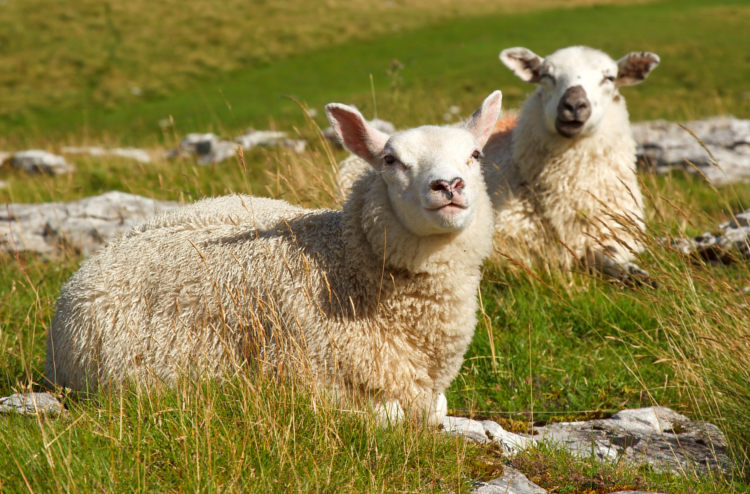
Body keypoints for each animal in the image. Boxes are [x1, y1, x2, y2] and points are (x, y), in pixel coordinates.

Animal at [45, 89, 506, 424]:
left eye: (475, 154)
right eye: (390, 160)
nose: (448, 185)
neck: (342, 259)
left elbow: (436, 410)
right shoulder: (302, 380)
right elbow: (389, 415)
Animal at [484, 46, 660, 282]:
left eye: (609, 78)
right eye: (546, 75)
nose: (574, 104)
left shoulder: (613, 231)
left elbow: (610, 255)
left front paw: (636, 274)